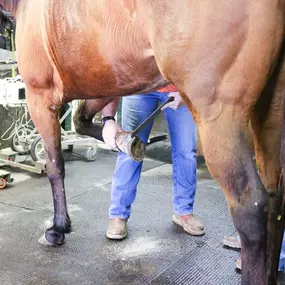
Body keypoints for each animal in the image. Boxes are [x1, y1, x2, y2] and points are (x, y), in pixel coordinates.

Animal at [2, 0, 284, 284]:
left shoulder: (40, 98)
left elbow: (55, 167)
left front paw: (57, 229)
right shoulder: (107, 81)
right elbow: (82, 120)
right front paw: (124, 141)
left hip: (218, 117)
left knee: (251, 207)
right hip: (270, 115)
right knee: (275, 197)